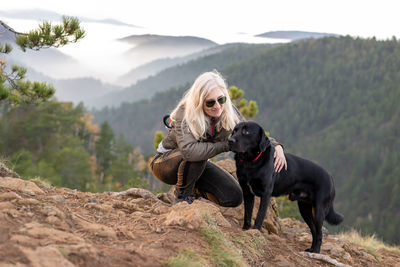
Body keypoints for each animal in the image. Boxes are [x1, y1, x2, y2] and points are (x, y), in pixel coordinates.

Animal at [228, 122, 344, 254]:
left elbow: (259, 215)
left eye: (246, 132)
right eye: (234, 131)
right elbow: (247, 214)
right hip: (304, 209)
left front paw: (255, 230)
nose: (230, 140)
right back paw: (311, 249)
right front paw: (246, 229)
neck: (250, 162)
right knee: (314, 230)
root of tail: (330, 177)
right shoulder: (247, 192)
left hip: (319, 210)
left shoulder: (265, 194)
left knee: (319, 233)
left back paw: (316, 250)